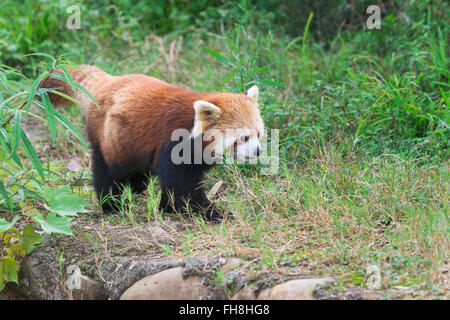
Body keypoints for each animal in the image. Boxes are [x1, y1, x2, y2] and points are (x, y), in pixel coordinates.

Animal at [40, 64, 264, 220]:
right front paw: (212, 213)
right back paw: (112, 205)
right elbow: (181, 186)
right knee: (107, 172)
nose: (258, 151)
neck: (192, 127)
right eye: (243, 138)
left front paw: (167, 207)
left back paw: (136, 187)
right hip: (106, 137)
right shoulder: (173, 144)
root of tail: (108, 82)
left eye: (258, 134)